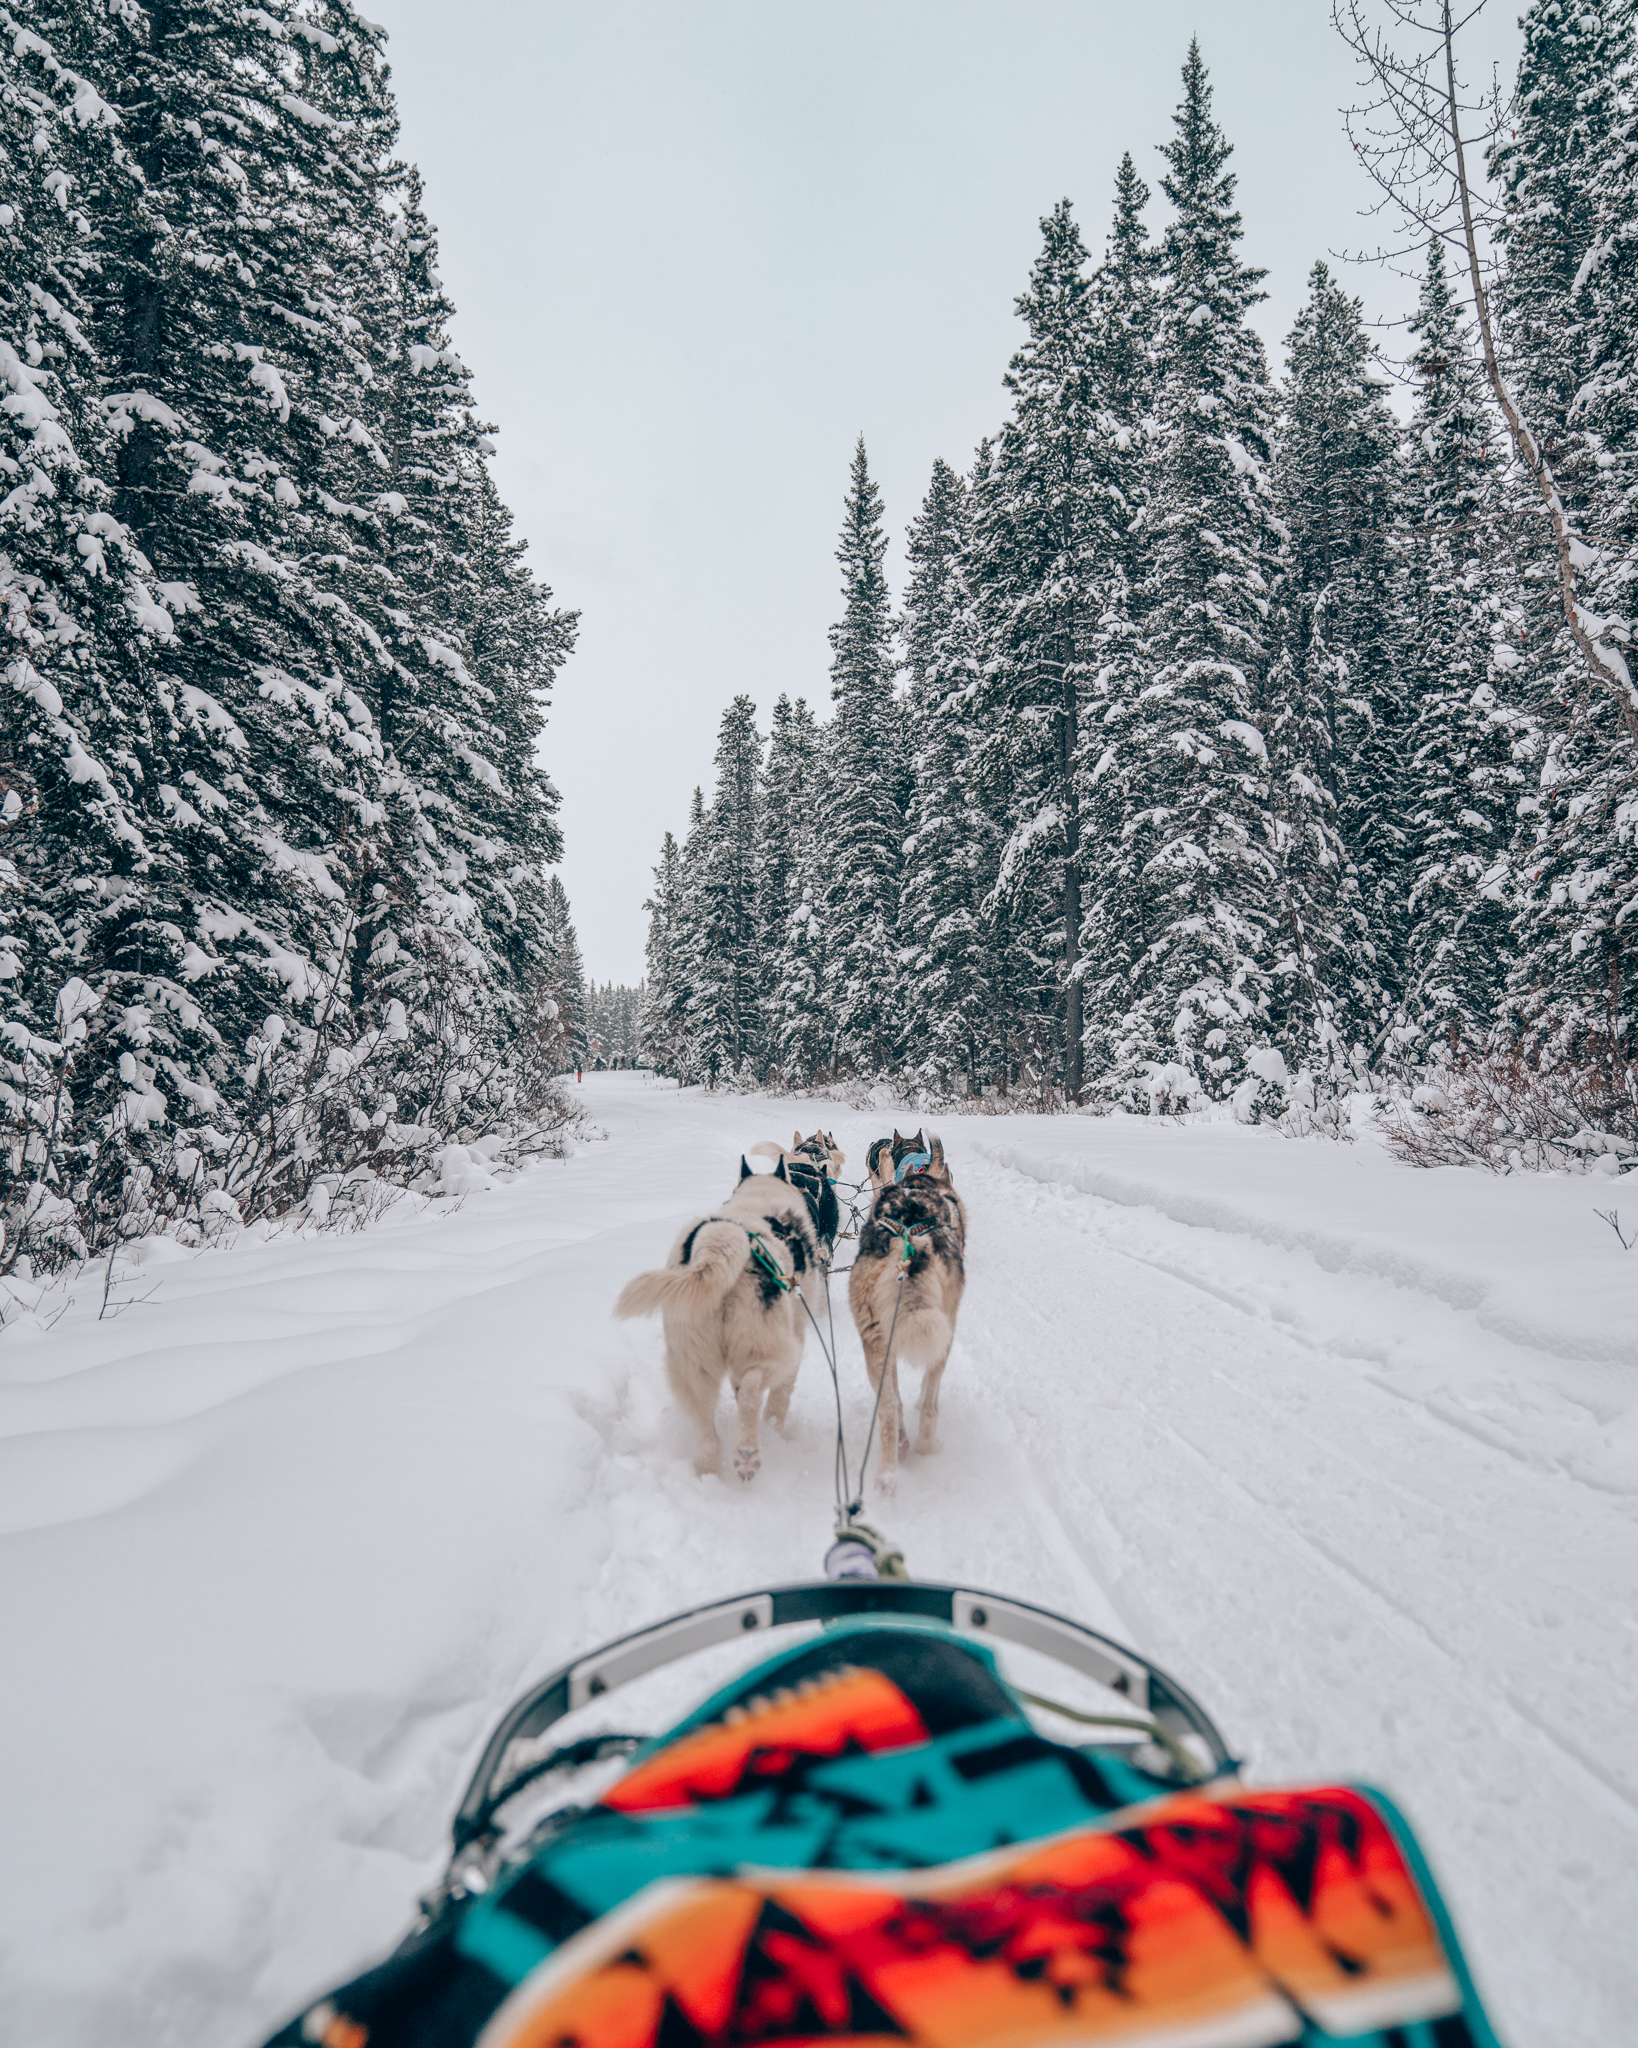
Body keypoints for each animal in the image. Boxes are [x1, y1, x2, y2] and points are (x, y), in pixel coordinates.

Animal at [610, 1163, 818, 1482]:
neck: (758, 1198)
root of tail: (720, 1240)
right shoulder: (797, 1336)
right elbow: (778, 1399)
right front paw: (774, 1427)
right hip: (769, 1346)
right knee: (752, 1389)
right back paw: (747, 1452)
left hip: (693, 1366)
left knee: (708, 1435)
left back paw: (711, 1474)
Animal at [851, 1130, 966, 1482]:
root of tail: (910, 1239)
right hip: (941, 1336)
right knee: (926, 1402)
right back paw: (925, 1448)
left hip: (878, 1345)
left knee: (890, 1407)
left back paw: (892, 1468)